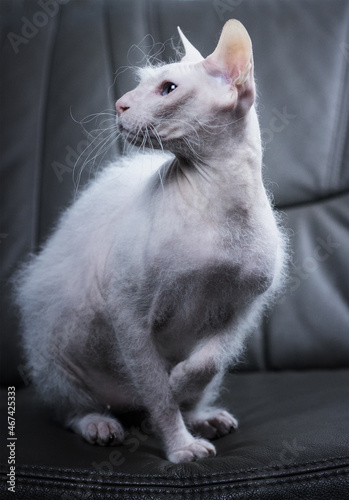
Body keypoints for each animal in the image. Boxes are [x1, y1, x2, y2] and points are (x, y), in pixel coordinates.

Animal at [14, 21, 286, 462]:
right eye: (139, 86)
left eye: (168, 89)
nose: (120, 104)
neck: (218, 195)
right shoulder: (128, 313)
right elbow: (156, 393)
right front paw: (181, 447)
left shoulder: (244, 308)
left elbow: (206, 363)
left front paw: (181, 385)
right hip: (56, 351)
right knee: (68, 408)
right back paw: (99, 424)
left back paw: (203, 415)